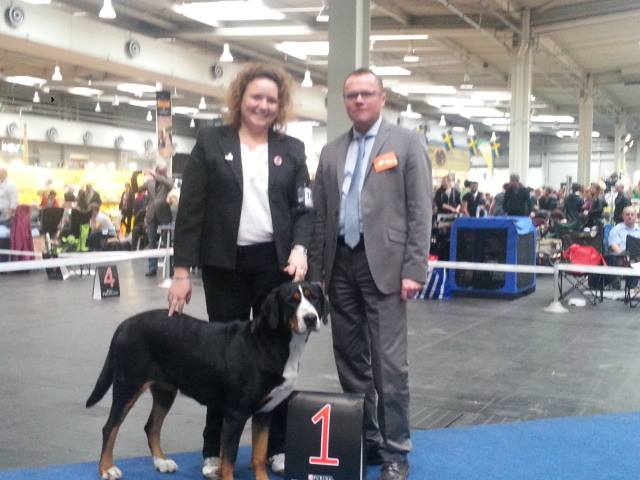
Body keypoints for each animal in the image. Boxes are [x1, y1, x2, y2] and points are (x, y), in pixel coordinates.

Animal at [86, 281, 327, 480]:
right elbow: (229, 459)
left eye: (314, 298)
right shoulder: (236, 414)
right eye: (292, 301)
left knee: (151, 427)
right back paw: (107, 469)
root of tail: (125, 324)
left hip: (165, 391)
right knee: (110, 427)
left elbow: (259, 455)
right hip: (128, 385)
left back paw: (162, 462)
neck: (271, 343)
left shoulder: (264, 412)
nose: (310, 318)